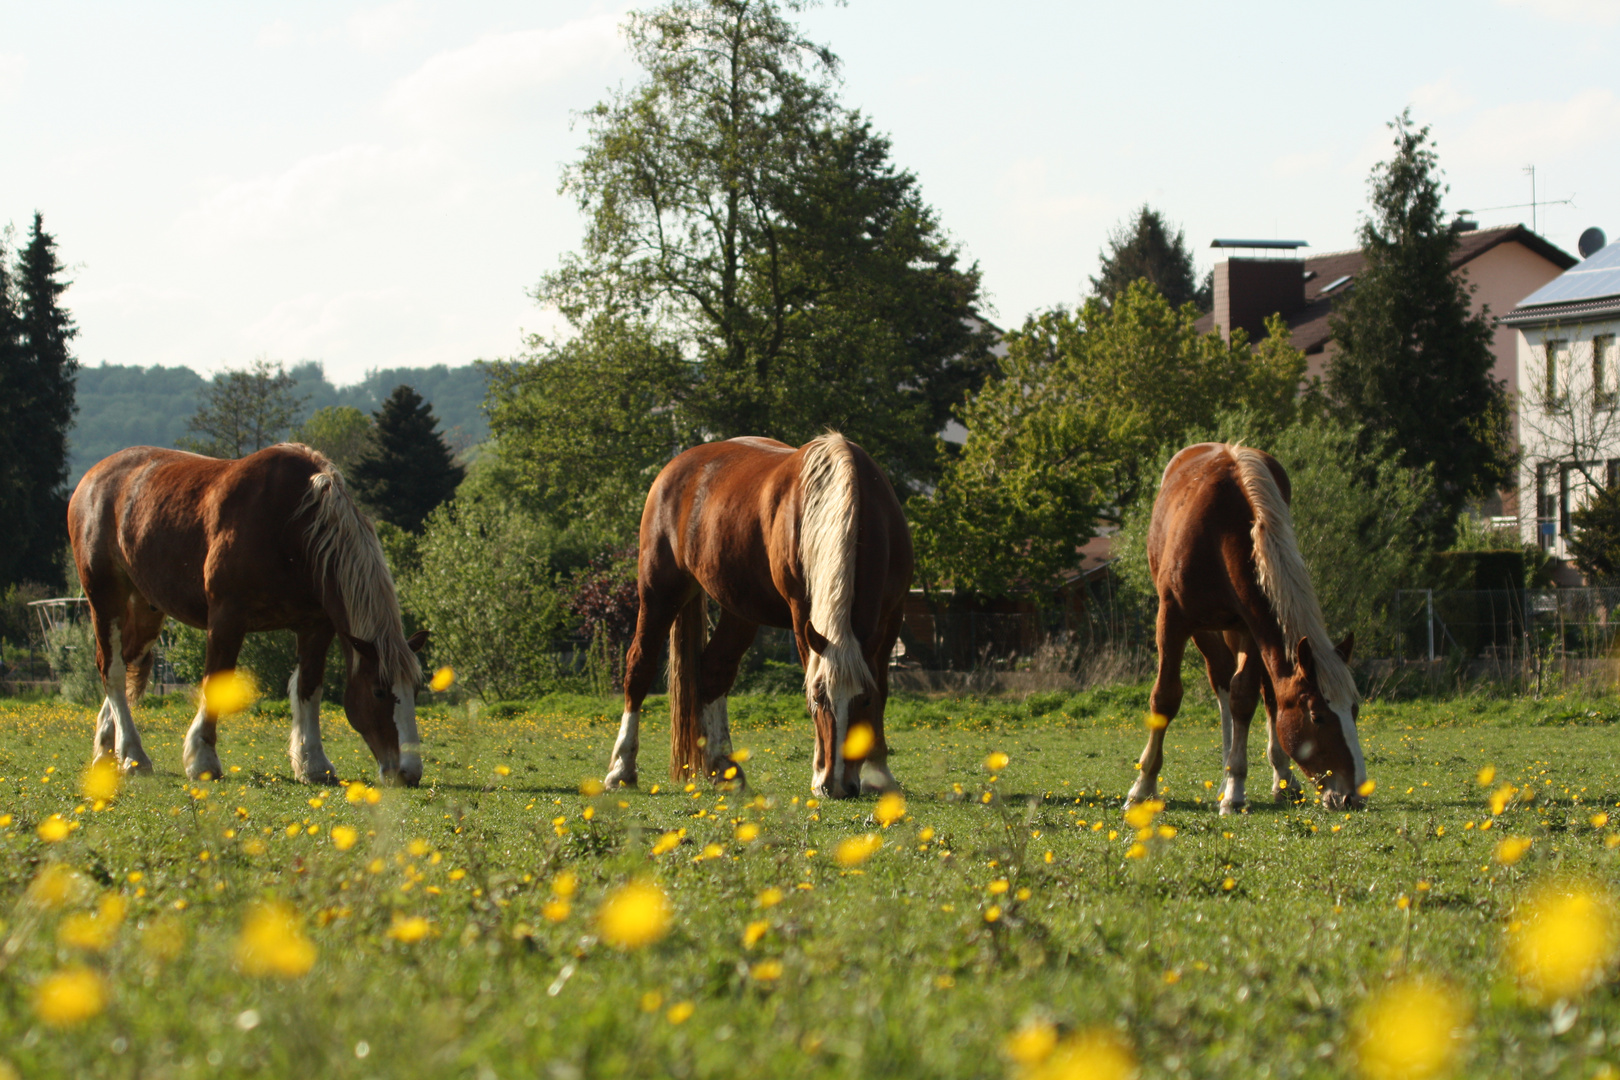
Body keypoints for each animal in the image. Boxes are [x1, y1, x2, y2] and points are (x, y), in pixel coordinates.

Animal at [68, 443, 430, 790]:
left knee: (125, 664)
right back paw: (132, 754)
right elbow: (216, 680)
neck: (293, 526)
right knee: (112, 669)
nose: (409, 773)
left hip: (146, 611)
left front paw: (313, 764)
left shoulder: (316, 626)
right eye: (378, 691)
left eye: (416, 690)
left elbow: (309, 687)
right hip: (105, 597)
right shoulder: (227, 618)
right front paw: (202, 760)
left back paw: (107, 751)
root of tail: (91, 477)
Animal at [605, 433, 913, 799]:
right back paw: (621, 769)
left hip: (739, 610)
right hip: (659, 592)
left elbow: (882, 687)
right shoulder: (801, 612)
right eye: (818, 699)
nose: (836, 785)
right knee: (639, 666)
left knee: (713, 671)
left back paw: (722, 767)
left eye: (862, 701)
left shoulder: (892, 616)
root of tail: (677, 466)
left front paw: (879, 773)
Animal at [1127, 443, 1367, 816]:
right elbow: (1166, 697)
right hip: (1207, 630)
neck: (1221, 533)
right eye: (1317, 716)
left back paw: (1279, 779)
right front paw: (1143, 786)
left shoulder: (1253, 627)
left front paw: (1236, 790)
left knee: (1262, 694)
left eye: (1354, 710)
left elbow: (1245, 698)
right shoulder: (1173, 619)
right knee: (1221, 680)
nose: (1353, 796)